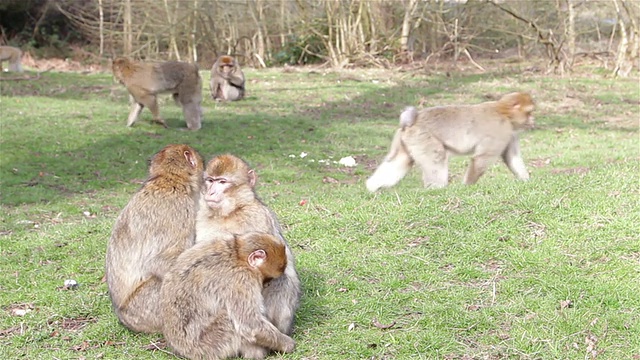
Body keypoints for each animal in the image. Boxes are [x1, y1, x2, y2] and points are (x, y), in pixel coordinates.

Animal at [160, 232, 296, 358]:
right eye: (267, 278)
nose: (266, 284)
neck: (237, 254)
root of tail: (180, 348)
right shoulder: (241, 279)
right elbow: (250, 325)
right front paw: (288, 344)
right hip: (206, 346)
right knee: (228, 320)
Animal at [196, 154, 302, 334]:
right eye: (210, 180)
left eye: (222, 182)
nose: (210, 192)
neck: (231, 213)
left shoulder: (258, 217)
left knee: (281, 280)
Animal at [364, 91, 536, 191]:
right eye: (529, 113)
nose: (532, 120)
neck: (504, 113)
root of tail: (414, 119)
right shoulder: (500, 131)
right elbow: (481, 160)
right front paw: (467, 186)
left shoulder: (510, 133)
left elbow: (512, 158)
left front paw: (526, 181)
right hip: (423, 138)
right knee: (436, 158)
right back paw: (437, 188)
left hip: (409, 140)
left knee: (400, 161)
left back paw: (372, 187)